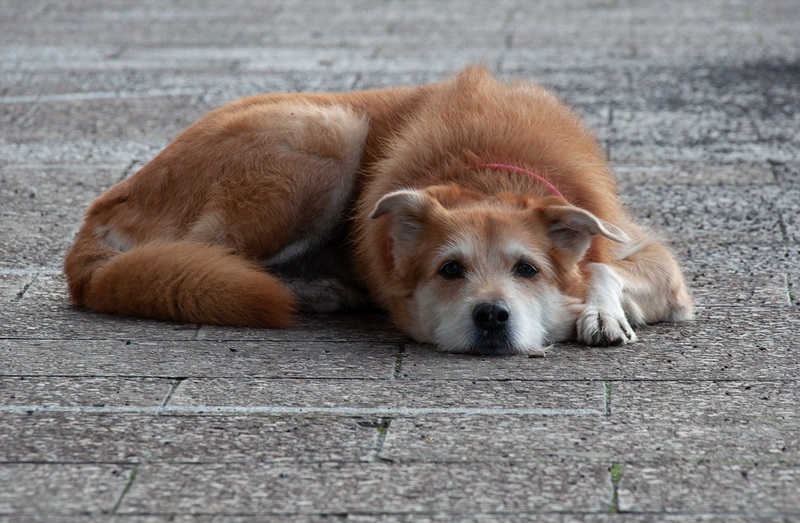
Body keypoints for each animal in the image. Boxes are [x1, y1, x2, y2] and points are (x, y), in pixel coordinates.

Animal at [64, 66, 692, 356]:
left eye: (527, 270)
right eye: (450, 270)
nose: (491, 316)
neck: (488, 170)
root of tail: (106, 203)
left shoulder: (650, 255)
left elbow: (603, 263)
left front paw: (601, 311)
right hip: (326, 135)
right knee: (202, 256)